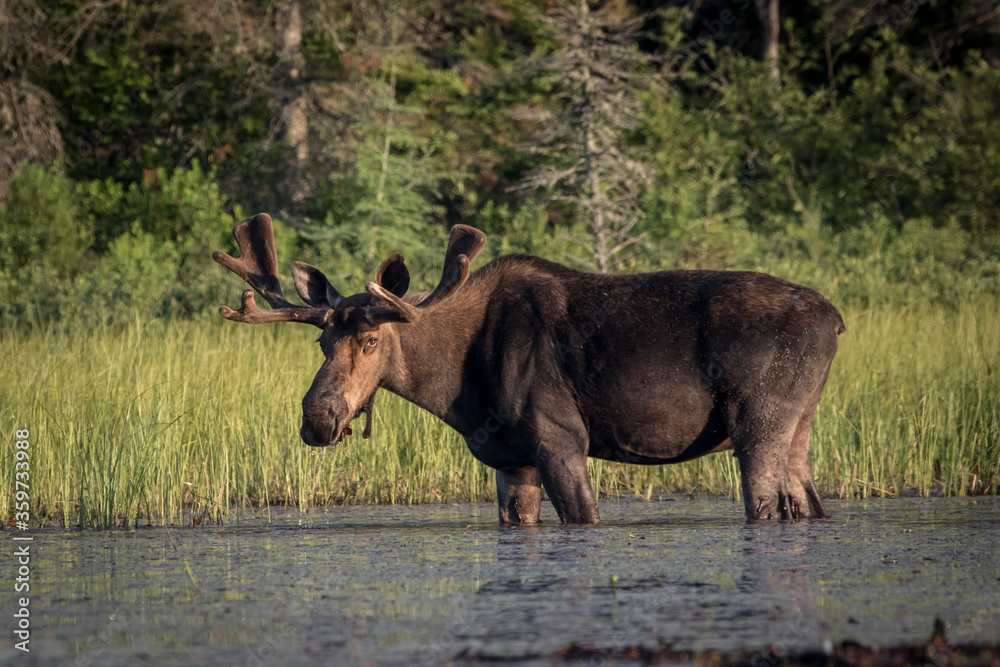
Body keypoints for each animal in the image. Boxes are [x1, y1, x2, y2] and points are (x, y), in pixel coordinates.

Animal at [214, 213, 845, 525]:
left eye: (370, 339)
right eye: (322, 341)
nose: (317, 420)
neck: (456, 390)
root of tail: (836, 319)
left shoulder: (560, 439)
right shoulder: (510, 458)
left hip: (757, 422)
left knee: (764, 507)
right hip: (800, 425)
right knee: (808, 505)